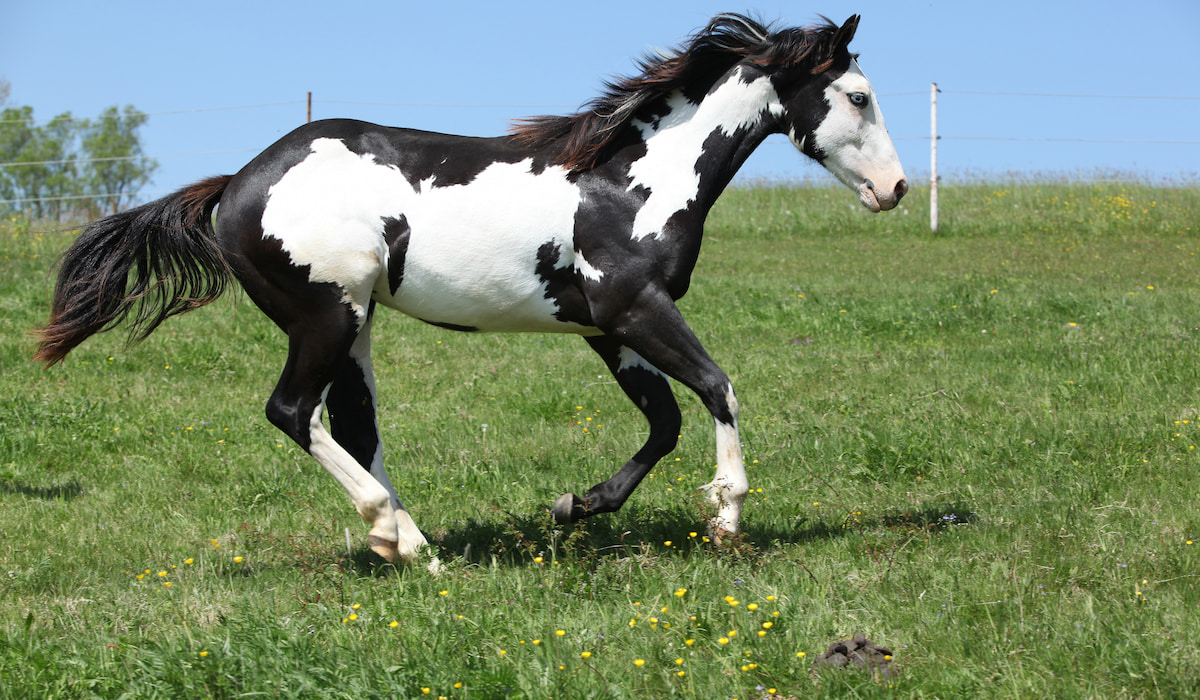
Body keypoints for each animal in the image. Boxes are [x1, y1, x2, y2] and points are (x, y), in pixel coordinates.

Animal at [34, 13, 906, 570]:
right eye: (859, 96)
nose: (896, 189)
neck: (632, 182)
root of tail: (235, 186)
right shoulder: (635, 310)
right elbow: (718, 388)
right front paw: (727, 514)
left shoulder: (605, 328)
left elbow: (662, 422)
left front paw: (575, 507)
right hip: (325, 316)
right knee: (292, 412)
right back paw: (391, 531)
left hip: (356, 327)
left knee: (353, 427)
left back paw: (412, 546)